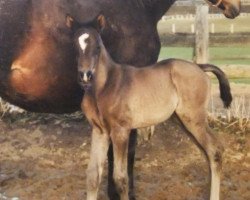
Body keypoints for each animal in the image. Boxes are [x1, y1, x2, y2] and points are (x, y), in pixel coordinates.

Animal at [74, 27, 232, 200]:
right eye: (76, 47)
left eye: (97, 47)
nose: (85, 75)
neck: (105, 86)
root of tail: (200, 67)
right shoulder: (99, 131)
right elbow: (93, 175)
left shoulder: (121, 131)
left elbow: (121, 178)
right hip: (183, 121)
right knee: (207, 152)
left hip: (194, 119)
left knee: (215, 150)